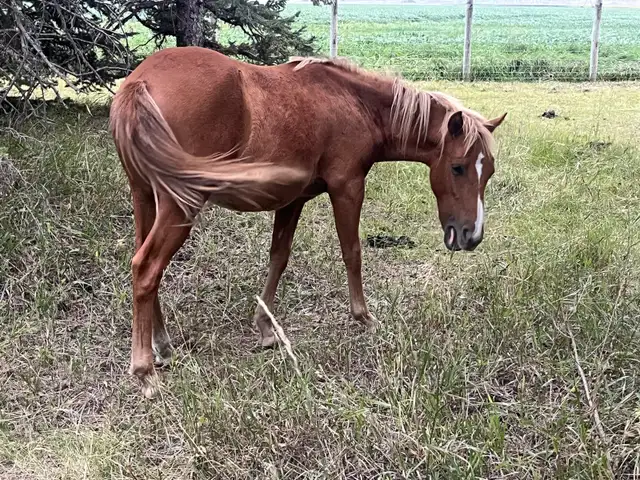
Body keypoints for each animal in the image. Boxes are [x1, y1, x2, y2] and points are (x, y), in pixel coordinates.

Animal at [109, 46, 506, 398]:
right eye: (457, 167)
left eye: (488, 170)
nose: (471, 235)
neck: (353, 101)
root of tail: (140, 81)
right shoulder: (347, 188)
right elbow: (352, 253)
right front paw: (363, 317)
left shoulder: (292, 201)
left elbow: (278, 258)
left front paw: (265, 327)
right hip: (180, 205)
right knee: (146, 267)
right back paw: (144, 371)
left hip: (144, 197)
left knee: (145, 267)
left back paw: (162, 345)